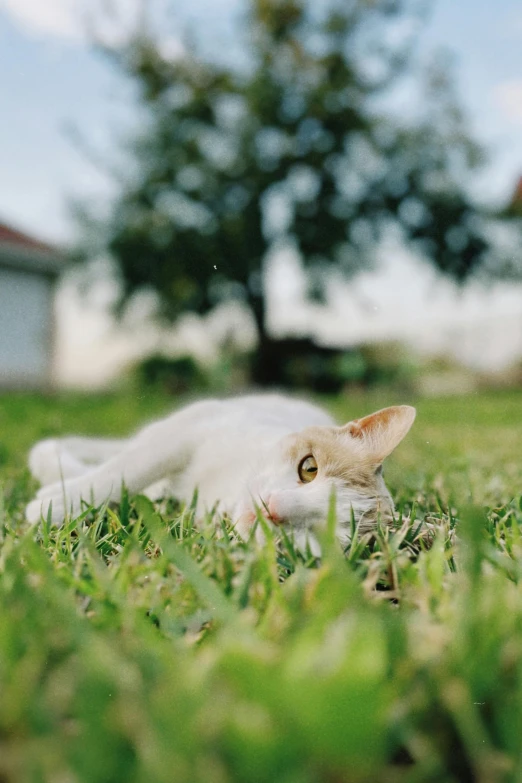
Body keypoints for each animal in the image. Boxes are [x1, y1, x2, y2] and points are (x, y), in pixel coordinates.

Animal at [26, 392, 414, 552]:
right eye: (309, 468)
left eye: (317, 532)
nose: (273, 508)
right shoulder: (191, 426)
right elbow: (123, 472)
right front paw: (55, 503)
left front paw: (53, 499)